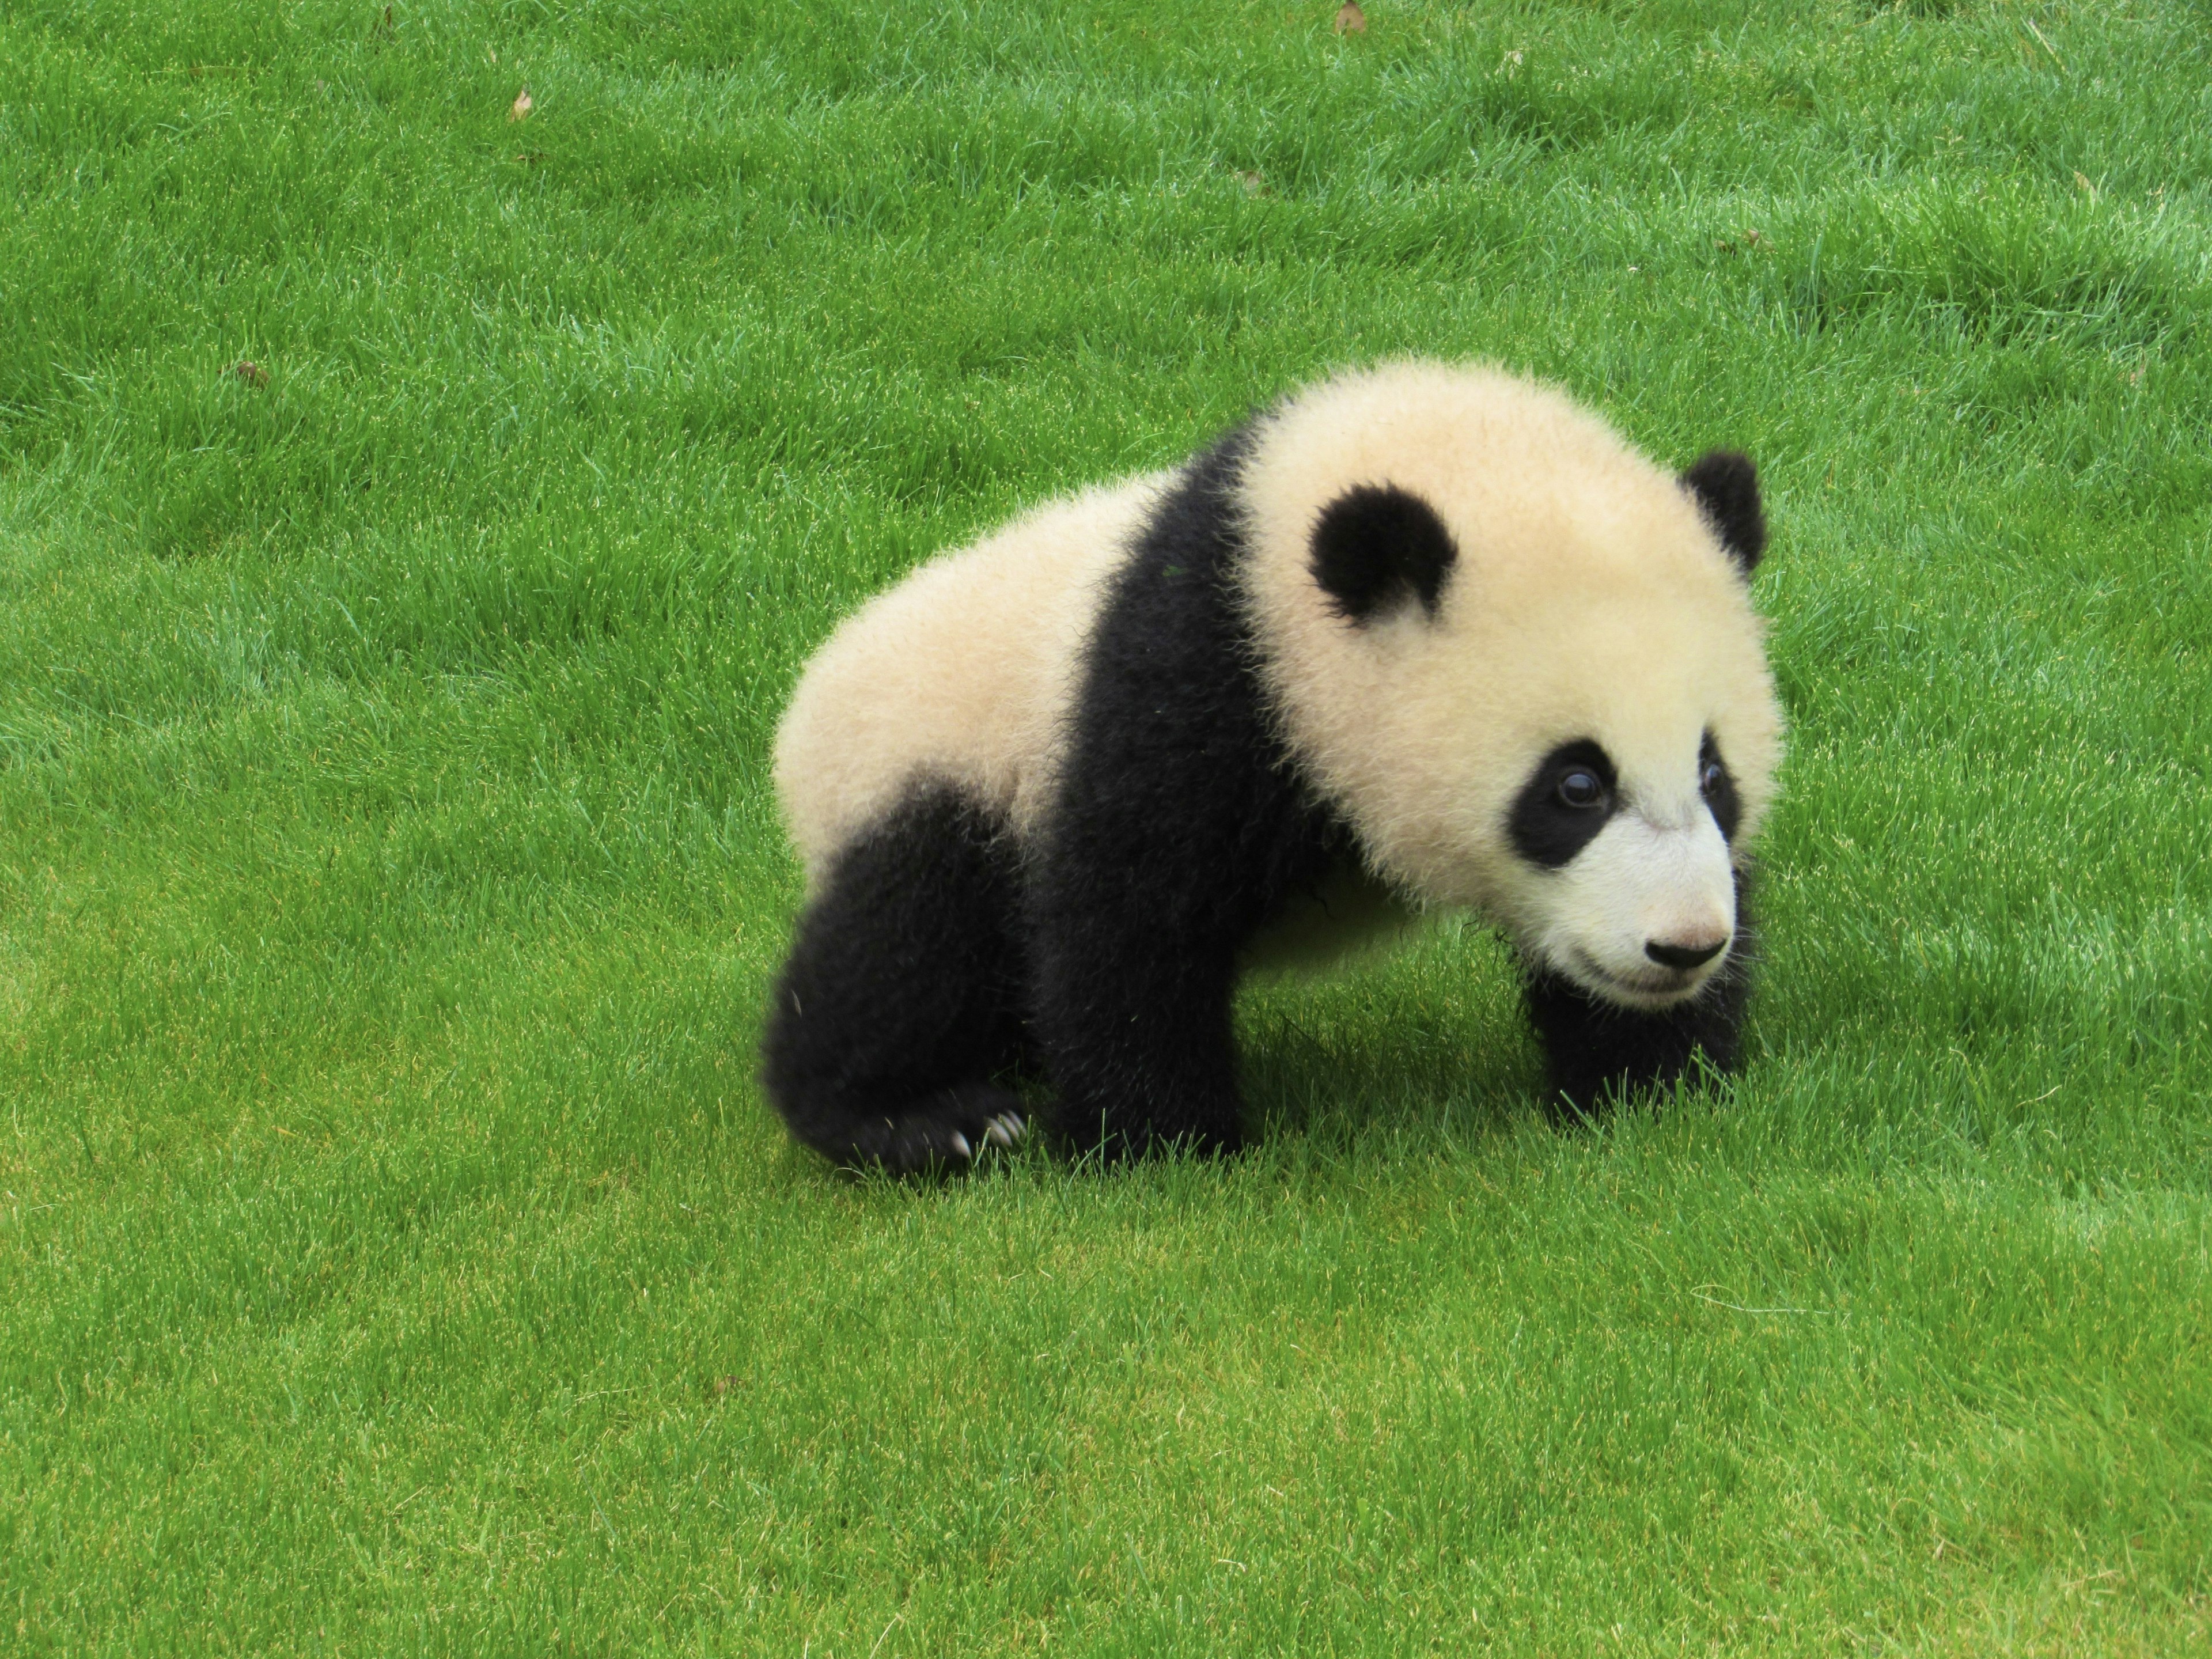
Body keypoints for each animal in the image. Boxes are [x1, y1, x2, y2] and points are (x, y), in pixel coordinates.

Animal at [760, 358, 1778, 1176]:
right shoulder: (1200, 674)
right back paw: (926, 1121)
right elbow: (1130, 913)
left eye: (1714, 776)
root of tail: (802, 719)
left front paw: (1655, 1083)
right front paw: (1166, 1142)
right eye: (1576, 787)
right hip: (938, 763)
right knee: (909, 936)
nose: (1684, 946)